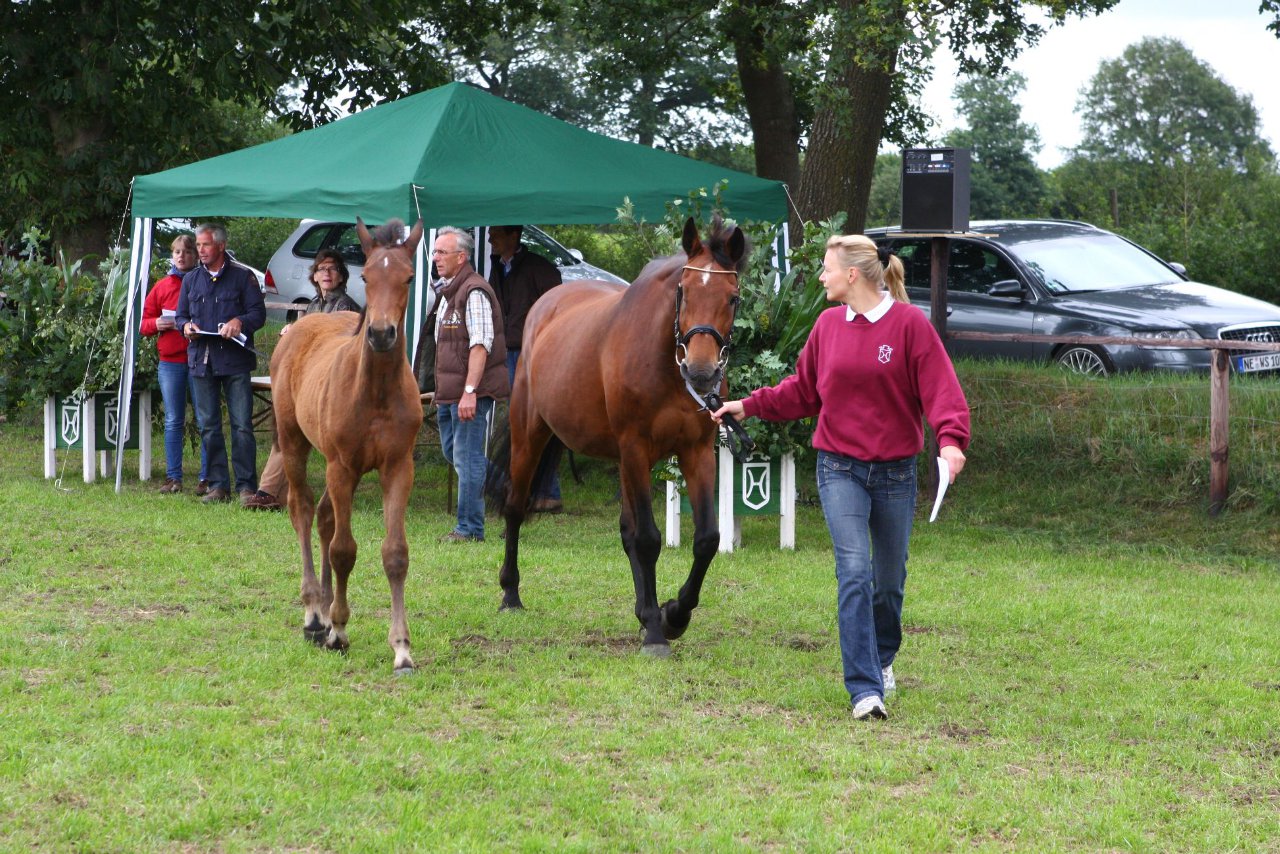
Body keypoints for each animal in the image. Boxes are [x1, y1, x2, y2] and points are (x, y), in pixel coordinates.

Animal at [270, 217, 424, 670]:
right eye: (368, 276)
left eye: (409, 277)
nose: (381, 333)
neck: (375, 391)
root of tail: (299, 325)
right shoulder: (342, 466)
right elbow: (343, 549)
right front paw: (337, 630)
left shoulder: (398, 467)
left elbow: (395, 553)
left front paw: (402, 648)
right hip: (295, 443)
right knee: (303, 509)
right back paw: (313, 614)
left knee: (323, 516)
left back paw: (321, 611)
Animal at [491, 215, 747, 655]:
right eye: (683, 290)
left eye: (732, 298)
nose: (701, 372)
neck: (665, 364)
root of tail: (548, 302)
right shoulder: (636, 450)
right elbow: (647, 538)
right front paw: (659, 632)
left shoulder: (696, 453)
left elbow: (706, 539)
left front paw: (672, 613)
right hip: (530, 436)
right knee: (515, 507)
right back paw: (510, 593)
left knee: (627, 531)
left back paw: (644, 612)